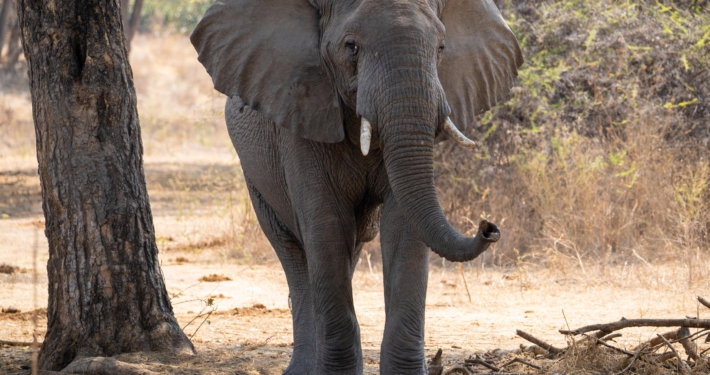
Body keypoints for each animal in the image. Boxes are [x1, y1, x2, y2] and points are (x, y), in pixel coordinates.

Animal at [192, 0, 524, 374]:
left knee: (353, 242)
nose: (489, 227)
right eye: (351, 47)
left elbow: (404, 228)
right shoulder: (302, 113)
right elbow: (326, 225)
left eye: (440, 48)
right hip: (255, 174)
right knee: (292, 251)